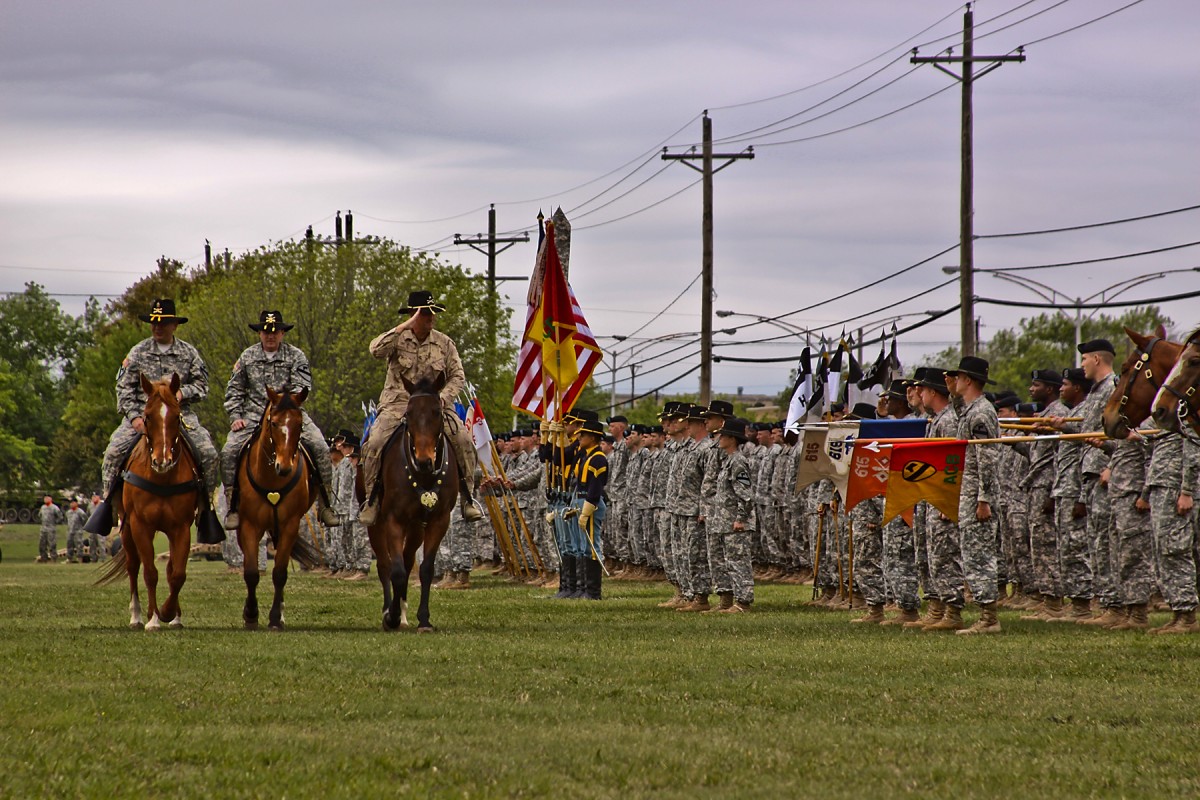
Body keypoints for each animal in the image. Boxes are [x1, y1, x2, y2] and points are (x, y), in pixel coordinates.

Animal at [97, 376, 199, 633]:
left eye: (177, 416)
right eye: (147, 416)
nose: (162, 461)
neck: (162, 479)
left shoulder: (181, 528)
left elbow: (177, 573)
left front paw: (169, 612)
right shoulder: (141, 526)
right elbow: (150, 573)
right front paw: (153, 619)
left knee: (170, 568)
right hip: (126, 529)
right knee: (133, 566)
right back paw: (136, 616)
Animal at [231, 388, 319, 633]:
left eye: (299, 423)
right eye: (274, 422)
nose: (285, 467)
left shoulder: (290, 525)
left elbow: (280, 573)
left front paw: (275, 617)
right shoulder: (250, 526)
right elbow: (251, 572)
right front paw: (251, 615)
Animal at [369, 374, 458, 633]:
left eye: (437, 412)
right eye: (408, 412)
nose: (424, 460)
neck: (424, 476)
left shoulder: (439, 520)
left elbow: (425, 568)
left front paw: (424, 619)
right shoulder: (393, 520)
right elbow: (396, 571)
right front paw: (391, 616)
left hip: (417, 527)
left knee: (409, 562)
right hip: (375, 525)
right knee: (385, 565)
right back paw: (390, 611)